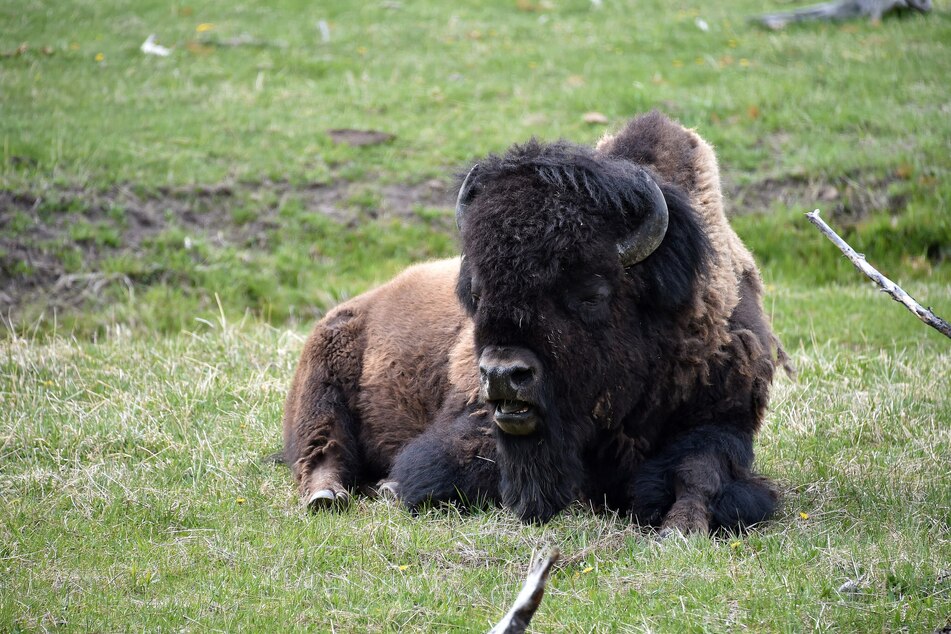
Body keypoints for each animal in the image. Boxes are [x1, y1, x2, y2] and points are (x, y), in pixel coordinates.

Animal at [282, 112, 788, 528]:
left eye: (591, 293)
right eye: (478, 293)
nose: (503, 374)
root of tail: (352, 309)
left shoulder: (722, 421)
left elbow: (700, 473)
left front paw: (680, 527)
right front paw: (392, 487)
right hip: (321, 392)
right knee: (322, 451)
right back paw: (327, 497)